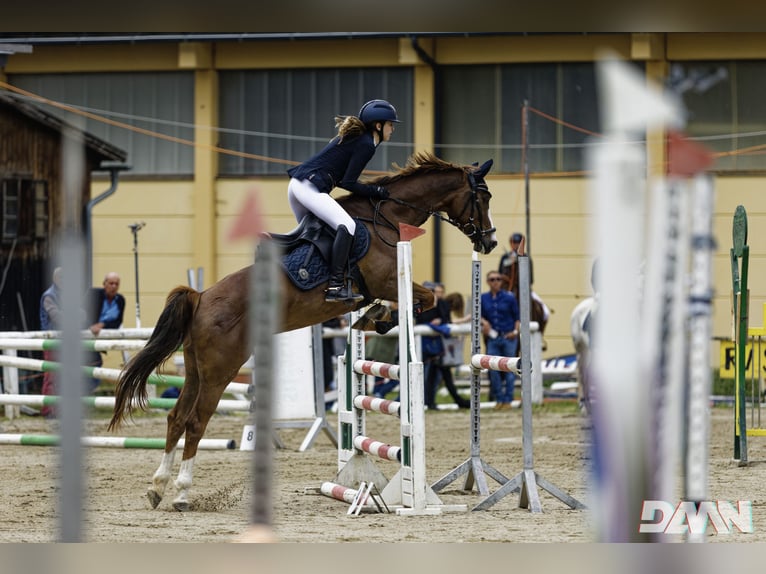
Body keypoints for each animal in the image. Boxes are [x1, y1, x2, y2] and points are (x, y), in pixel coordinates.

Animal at [111, 153, 500, 512]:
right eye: (483, 197)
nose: (490, 243)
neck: (386, 218)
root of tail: (201, 297)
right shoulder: (388, 281)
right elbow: (427, 297)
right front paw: (379, 318)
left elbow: (414, 301)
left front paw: (372, 317)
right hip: (221, 369)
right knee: (195, 421)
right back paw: (181, 494)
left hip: (195, 367)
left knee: (176, 418)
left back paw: (157, 488)